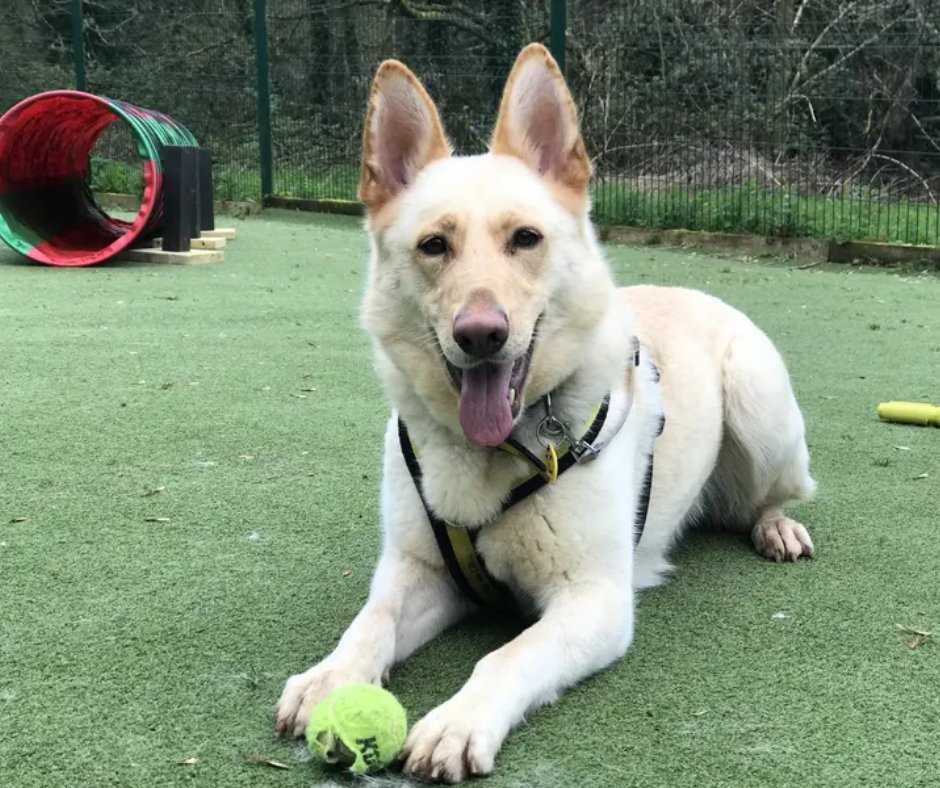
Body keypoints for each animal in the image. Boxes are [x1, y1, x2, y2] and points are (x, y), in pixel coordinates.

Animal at [274, 46, 816, 784]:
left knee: (772, 496)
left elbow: (508, 655)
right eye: (434, 245)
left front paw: (458, 721)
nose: (481, 334)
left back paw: (776, 526)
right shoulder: (417, 571)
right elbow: (372, 620)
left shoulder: (594, 601)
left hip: (758, 402)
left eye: (524, 239)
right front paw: (331, 678)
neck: (494, 454)